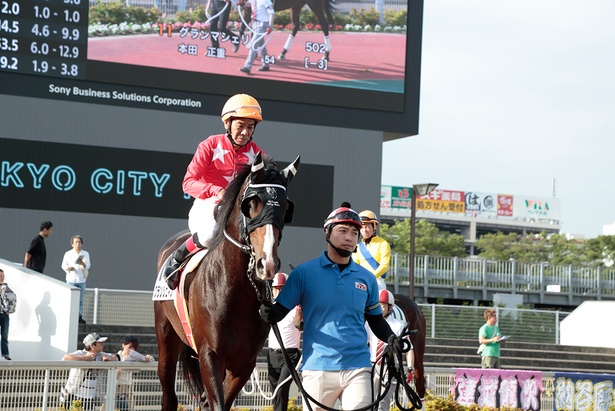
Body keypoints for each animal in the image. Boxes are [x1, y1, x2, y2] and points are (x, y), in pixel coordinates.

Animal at [153, 154, 298, 411]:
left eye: (285, 207)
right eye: (251, 203)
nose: (267, 263)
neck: (233, 290)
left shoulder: (244, 364)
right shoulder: (210, 355)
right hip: (166, 336)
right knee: (169, 395)